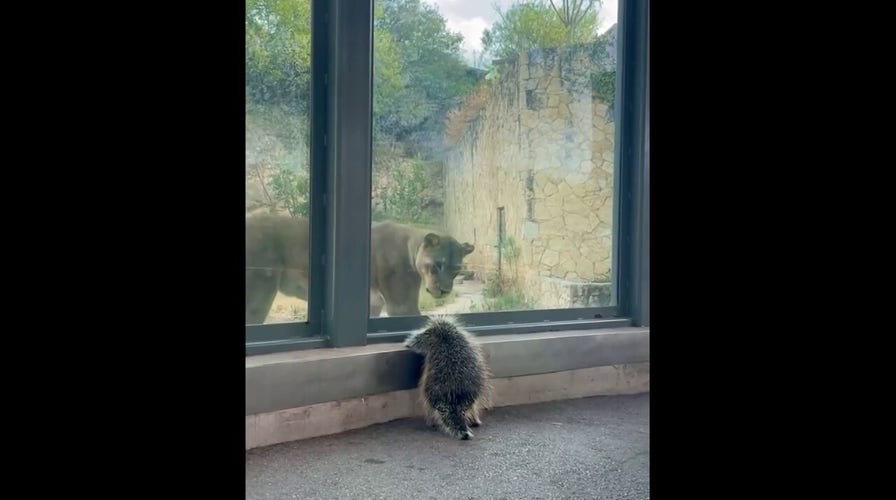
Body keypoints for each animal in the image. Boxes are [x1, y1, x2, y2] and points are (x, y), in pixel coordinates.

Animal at [245, 213, 475, 324]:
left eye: (455, 270)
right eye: (437, 265)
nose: (444, 290)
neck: (413, 247)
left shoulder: (374, 305)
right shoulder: (401, 306)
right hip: (258, 293)